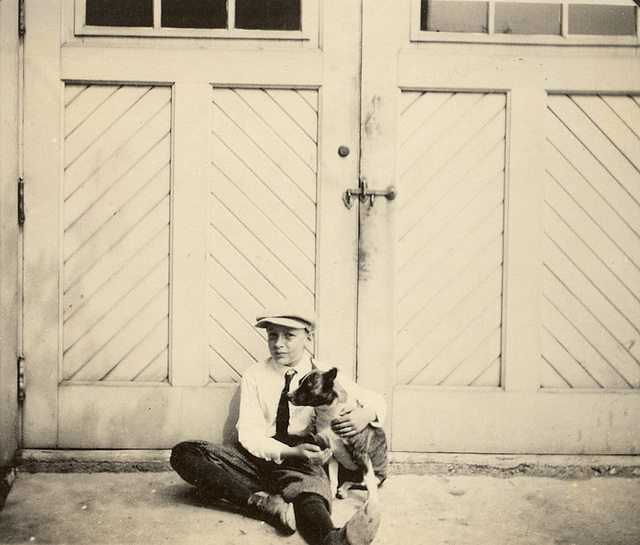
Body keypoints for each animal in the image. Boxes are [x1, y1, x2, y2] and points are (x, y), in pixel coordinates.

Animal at [288, 366, 384, 502]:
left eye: (308, 386)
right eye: (299, 382)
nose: (288, 395)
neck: (328, 412)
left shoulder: (362, 455)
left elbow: (369, 483)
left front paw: (372, 501)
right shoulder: (332, 453)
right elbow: (333, 477)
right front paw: (332, 491)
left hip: (375, 476)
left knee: (361, 482)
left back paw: (344, 489)